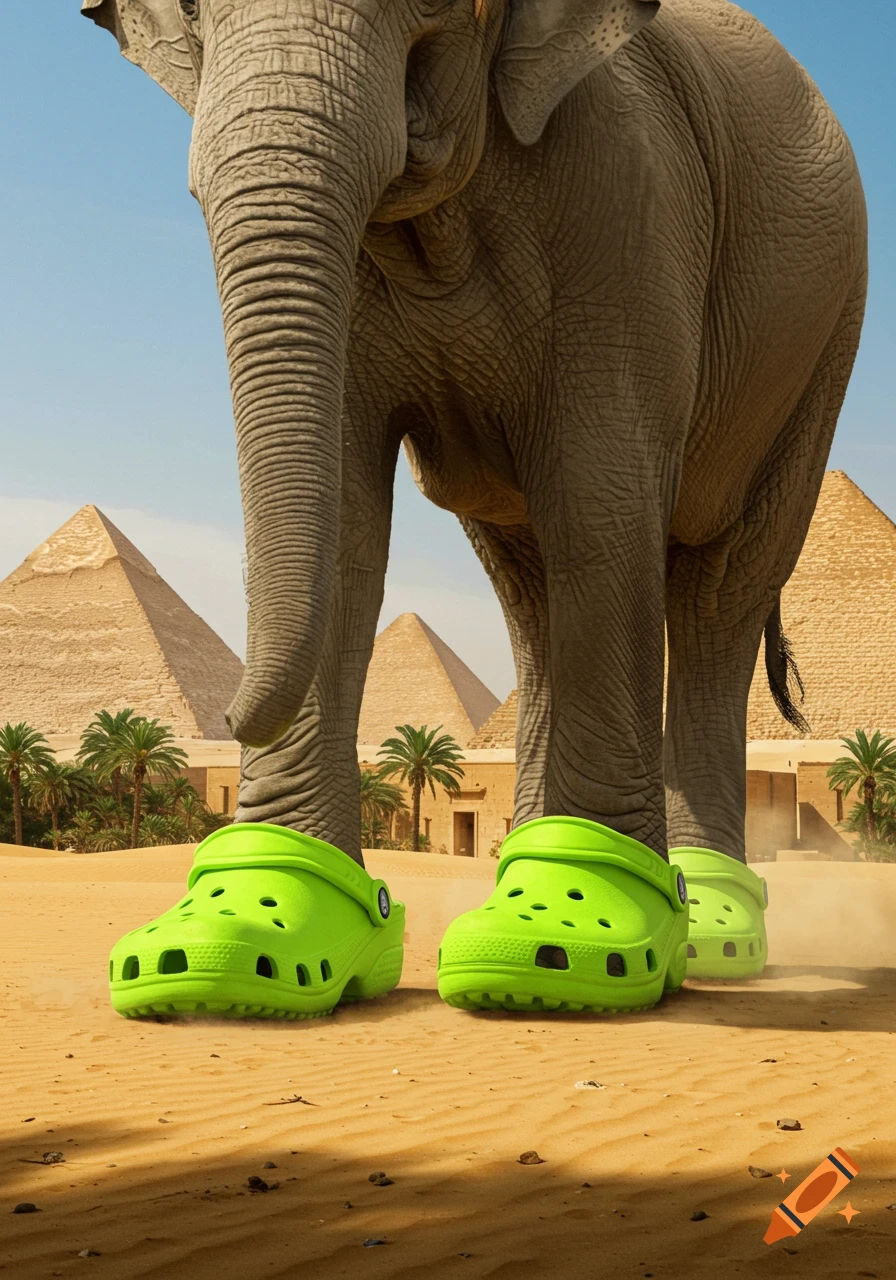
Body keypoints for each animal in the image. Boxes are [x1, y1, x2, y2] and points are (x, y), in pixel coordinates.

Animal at [83, 0, 866, 881]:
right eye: (188, 14)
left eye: (430, 8)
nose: (223, 721)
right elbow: (346, 519)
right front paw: (264, 898)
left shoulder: (629, 204)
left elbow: (599, 500)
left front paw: (593, 906)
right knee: (535, 594)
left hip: (823, 342)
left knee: (719, 591)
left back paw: (701, 896)